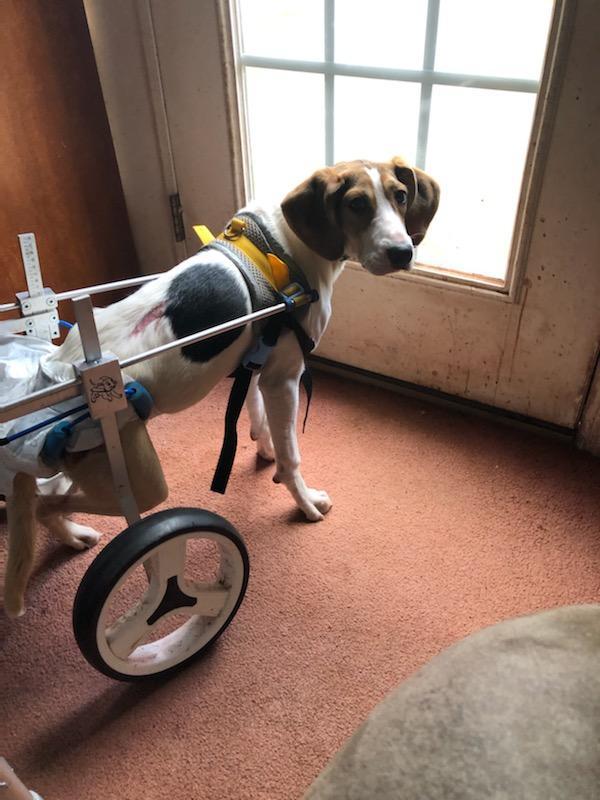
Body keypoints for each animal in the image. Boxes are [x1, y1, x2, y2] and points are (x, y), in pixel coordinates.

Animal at [2, 158, 438, 620]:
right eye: (356, 204)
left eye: (400, 196)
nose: (403, 252)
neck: (284, 246)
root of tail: (53, 378)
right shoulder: (285, 379)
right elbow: (292, 459)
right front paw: (304, 503)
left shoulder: (259, 365)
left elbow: (257, 415)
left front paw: (263, 448)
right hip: (139, 479)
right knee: (47, 503)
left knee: (44, 497)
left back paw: (73, 536)